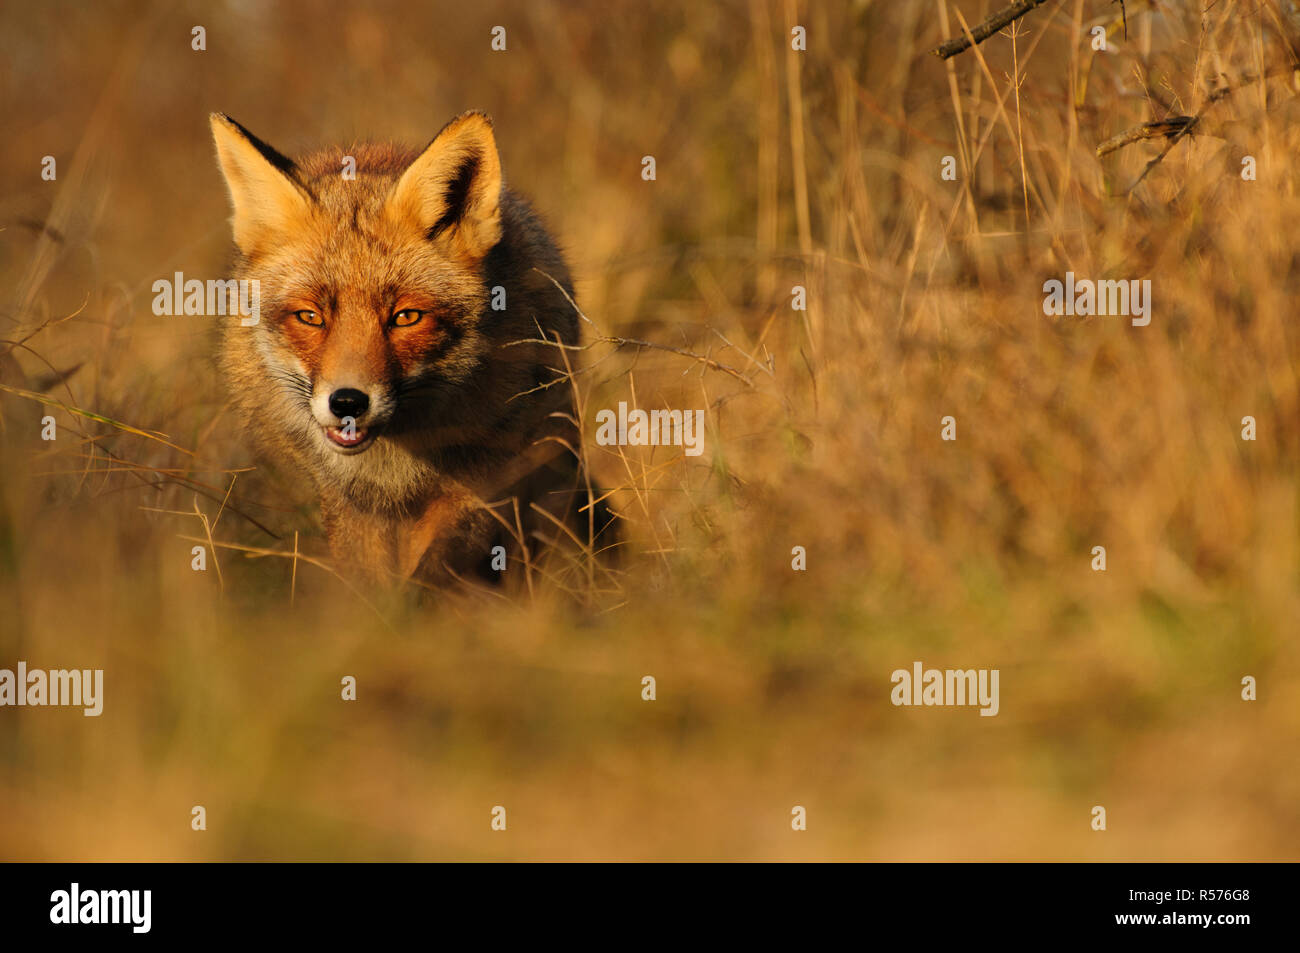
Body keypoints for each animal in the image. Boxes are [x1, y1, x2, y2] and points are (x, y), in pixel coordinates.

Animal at [208, 111, 608, 587]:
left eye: (406, 317)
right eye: (310, 317)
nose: (347, 403)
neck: (395, 465)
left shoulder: (480, 480)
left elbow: (428, 578)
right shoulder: (350, 500)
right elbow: (370, 582)